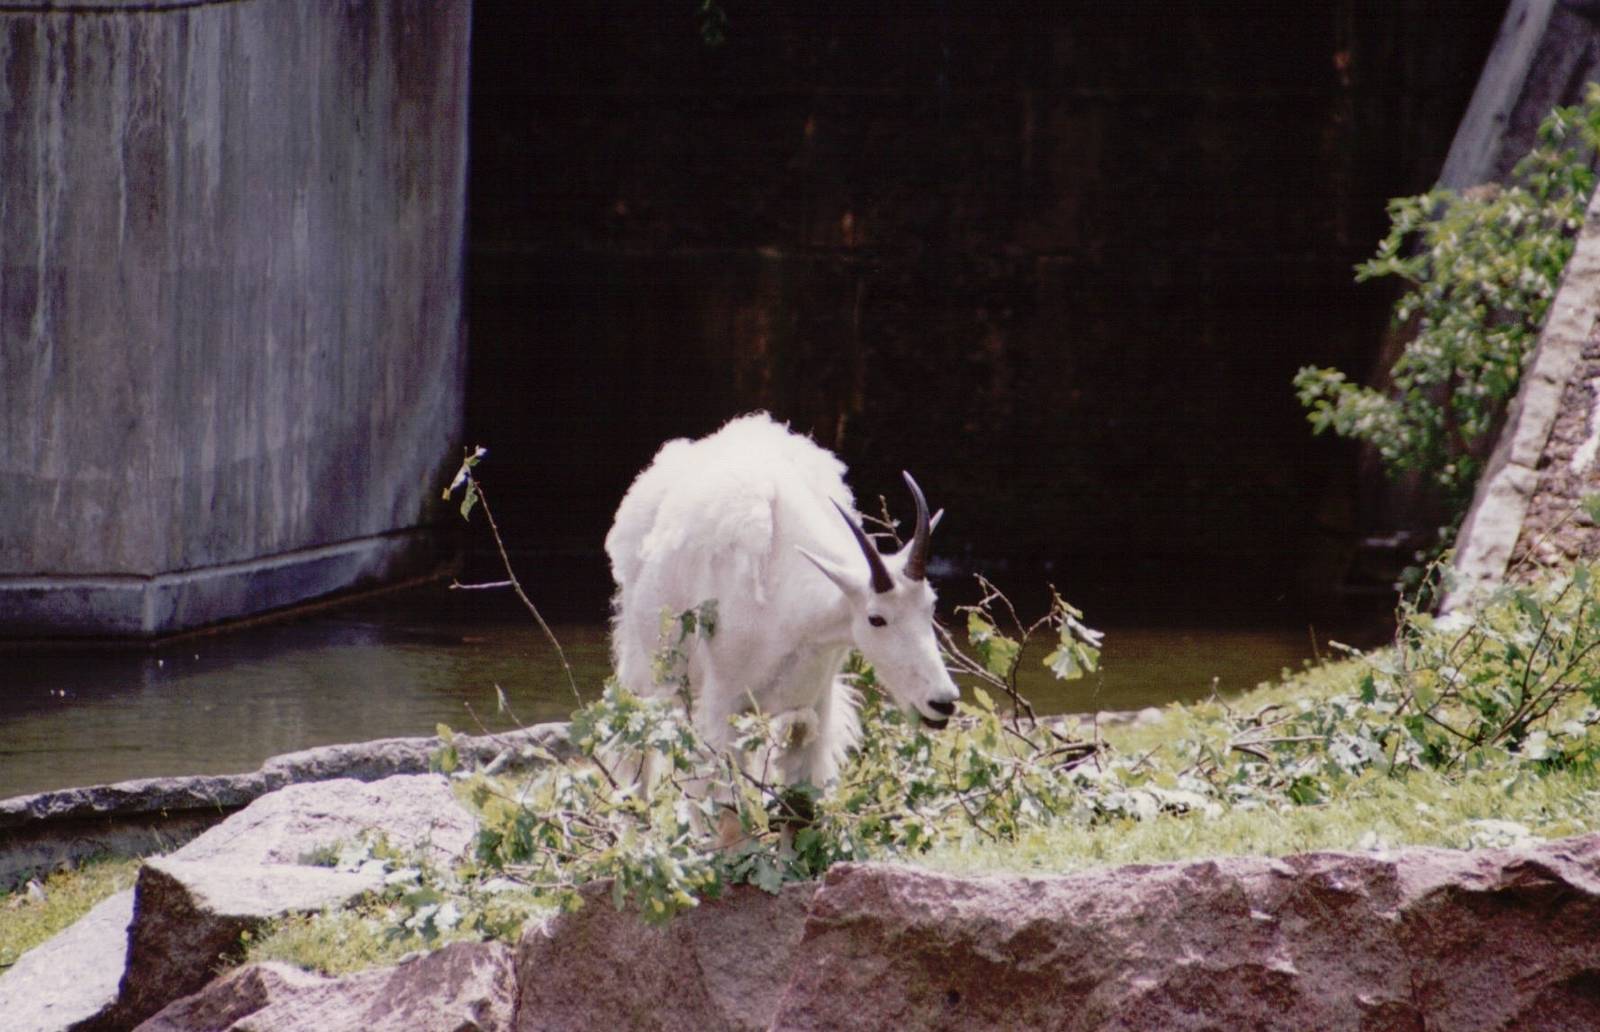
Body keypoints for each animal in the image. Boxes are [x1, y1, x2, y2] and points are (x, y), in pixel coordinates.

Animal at [604, 412, 960, 790]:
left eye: (931, 606)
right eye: (876, 618)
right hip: (646, 669)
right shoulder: (722, 707)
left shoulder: (809, 714)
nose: (942, 703)